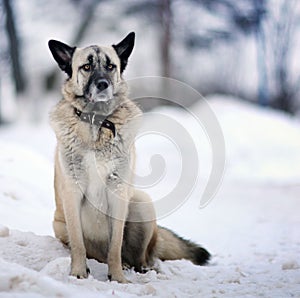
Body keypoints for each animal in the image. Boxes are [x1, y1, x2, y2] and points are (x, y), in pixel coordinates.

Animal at [48, 32, 210, 284]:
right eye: (86, 67)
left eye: (110, 66)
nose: (103, 84)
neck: (97, 122)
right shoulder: (72, 193)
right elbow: (78, 244)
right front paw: (77, 273)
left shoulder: (117, 192)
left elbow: (115, 244)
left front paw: (117, 278)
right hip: (61, 225)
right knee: (97, 252)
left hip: (141, 204)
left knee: (140, 257)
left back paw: (143, 270)